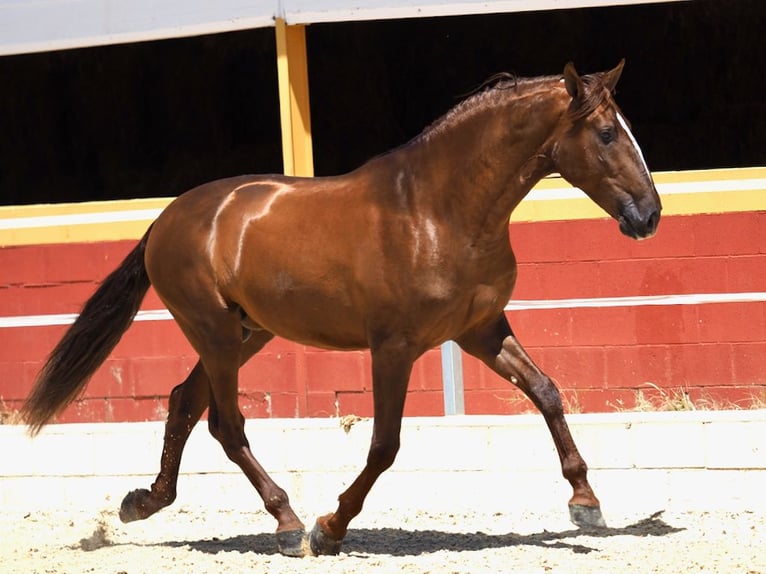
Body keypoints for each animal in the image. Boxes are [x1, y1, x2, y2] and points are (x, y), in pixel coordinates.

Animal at [22, 62, 660, 560]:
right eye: (607, 133)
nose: (649, 215)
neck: (438, 210)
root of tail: (166, 218)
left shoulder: (480, 331)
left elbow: (547, 392)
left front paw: (585, 503)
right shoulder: (394, 347)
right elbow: (385, 444)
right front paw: (330, 528)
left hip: (245, 334)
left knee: (183, 403)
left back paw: (143, 502)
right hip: (217, 334)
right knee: (226, 425)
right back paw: (287, 524)